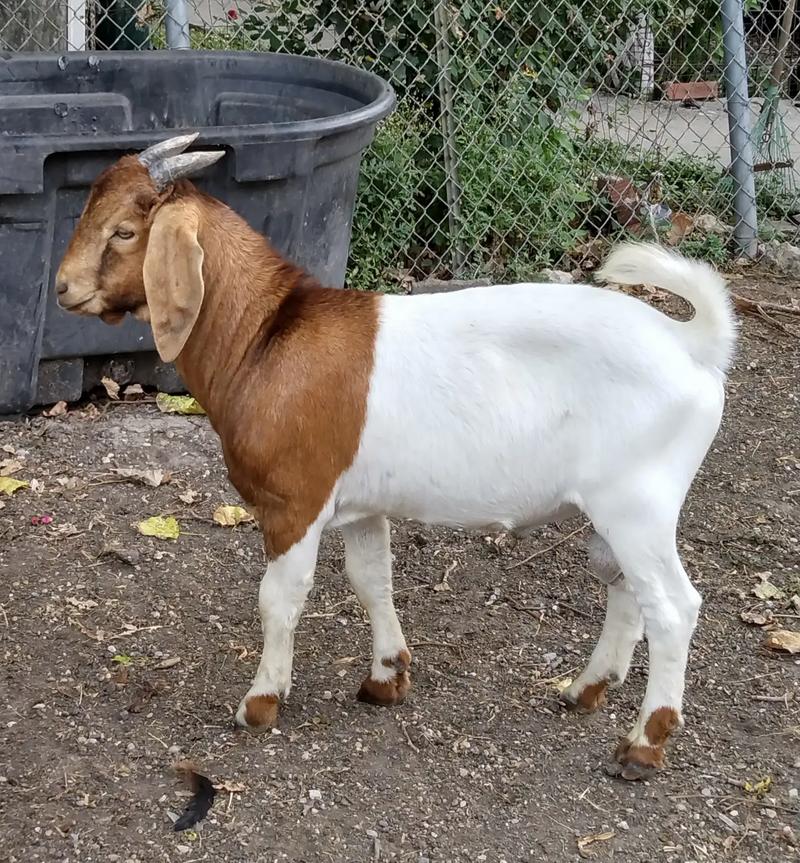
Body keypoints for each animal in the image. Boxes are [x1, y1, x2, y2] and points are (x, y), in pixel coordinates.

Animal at [56, 134, 736, 780]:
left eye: (124, 230)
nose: (63, 288)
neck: (265, 337)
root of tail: (691, 344)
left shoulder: (295, 502)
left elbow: (280, 597)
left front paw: (260, 703)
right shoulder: (361, 506)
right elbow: (371, 580)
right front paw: (386, 677)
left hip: (637, 503)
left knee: (673, 608)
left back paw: (643, 744)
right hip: (614, 513)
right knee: (624, 586)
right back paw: (586, 690)